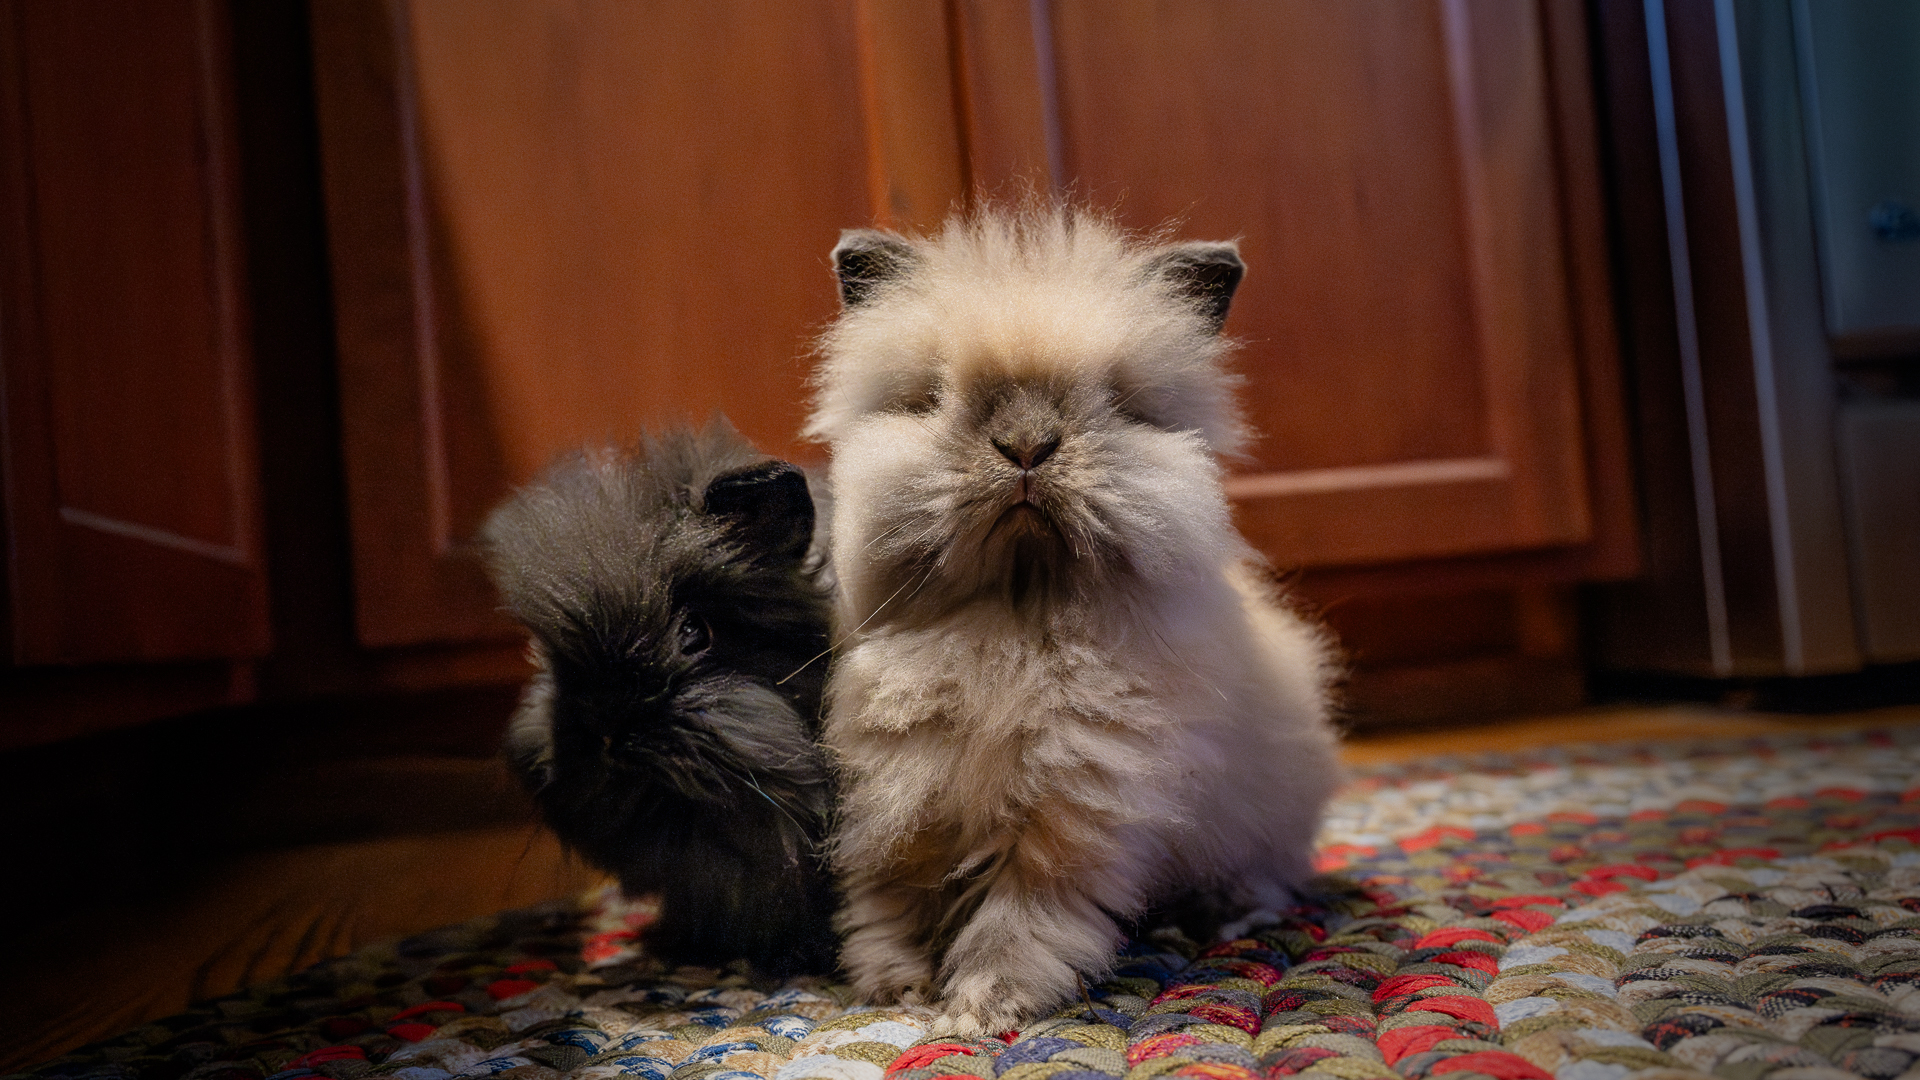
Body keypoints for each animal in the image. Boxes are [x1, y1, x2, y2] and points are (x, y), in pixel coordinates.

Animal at [806, 205, 1343, 1033]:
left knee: (1267, 879)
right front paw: (894, 986)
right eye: (929, 396)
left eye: (1120, 401)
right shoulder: (903, 798)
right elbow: (895, 893)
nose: (1027, 446)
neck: (1016, 612)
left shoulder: (1070, 813)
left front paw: (983, 1009)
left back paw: (1221, 922)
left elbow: (1022, 915)